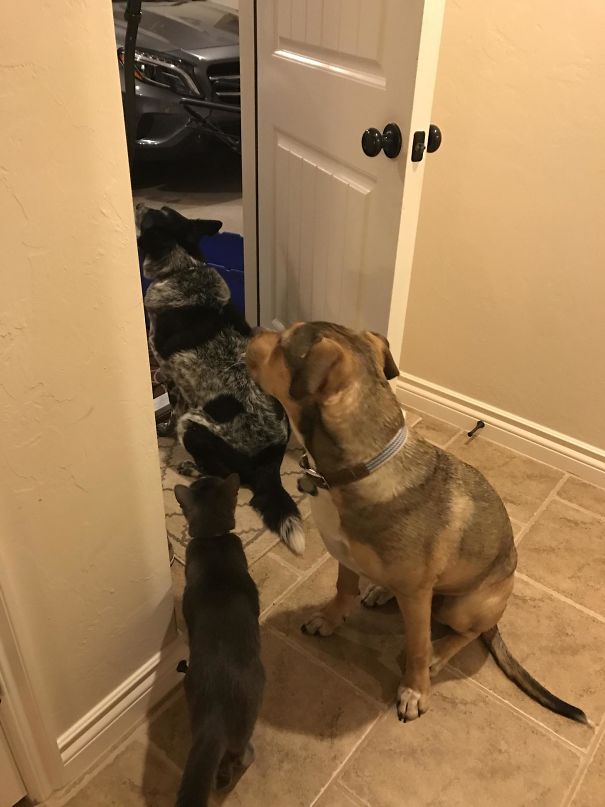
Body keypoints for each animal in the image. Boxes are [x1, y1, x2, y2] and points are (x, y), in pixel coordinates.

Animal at [139, 202, 304, 556]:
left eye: (149, 218)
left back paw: (191, 468)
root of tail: (271, 460)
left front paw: (161, 430)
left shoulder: (173, 378)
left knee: (226, 473)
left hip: (193, 426)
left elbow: (171, 410)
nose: (140, 203)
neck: (183, 270)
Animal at [244, 322, 584, 724]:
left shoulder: (418, 597)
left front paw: (415, 691)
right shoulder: (345, 556)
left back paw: (440, 651)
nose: (252, 330)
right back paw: (380, 590)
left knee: (466, 634)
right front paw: (329, 619)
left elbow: (418, 645)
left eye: (283, 345)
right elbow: (343, 589)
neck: (355, 471)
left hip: (463, 606)